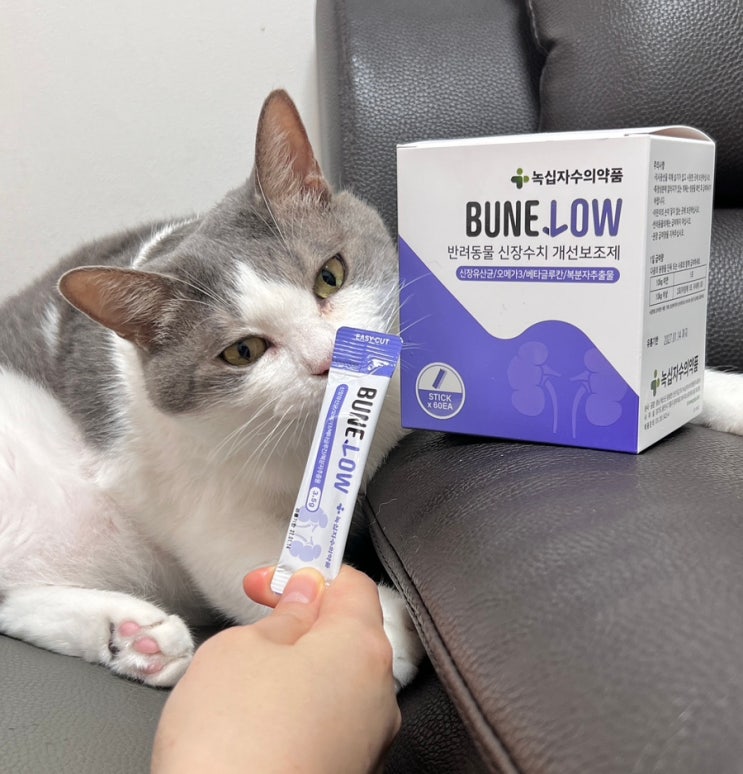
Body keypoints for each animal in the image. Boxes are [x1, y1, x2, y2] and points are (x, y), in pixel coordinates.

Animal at [0, 89, 423, 688]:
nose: (327, 360)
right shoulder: (201, 505)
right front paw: (374, 622)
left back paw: (134, 637)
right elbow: (251, 562)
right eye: (243, 352)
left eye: (330, 276)